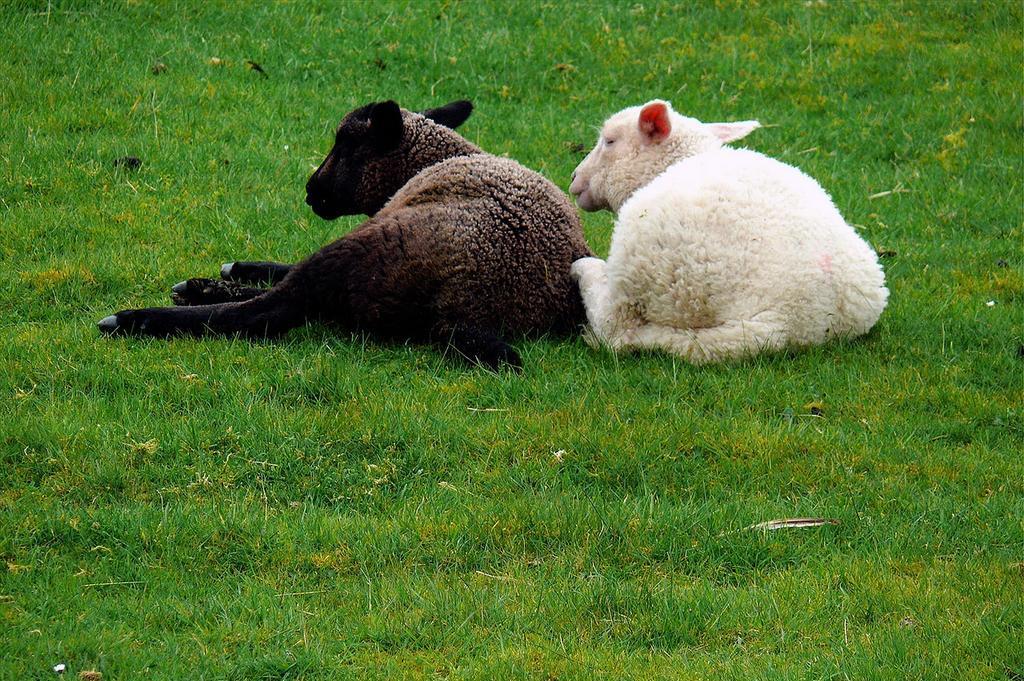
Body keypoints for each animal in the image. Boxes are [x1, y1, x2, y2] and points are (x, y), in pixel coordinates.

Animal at [98, 99, 592, 370]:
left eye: (347, 144)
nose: (310, 191)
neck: (431, 161)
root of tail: (467, 308)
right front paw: (234, 269)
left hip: (370, 246)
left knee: (270, 309)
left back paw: (136, 318)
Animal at [568, 99, 889, 363]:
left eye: (609, 141)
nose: (574, 178)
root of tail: (781, 319)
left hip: (647, 270)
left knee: (614, 327)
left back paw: (585, 269)